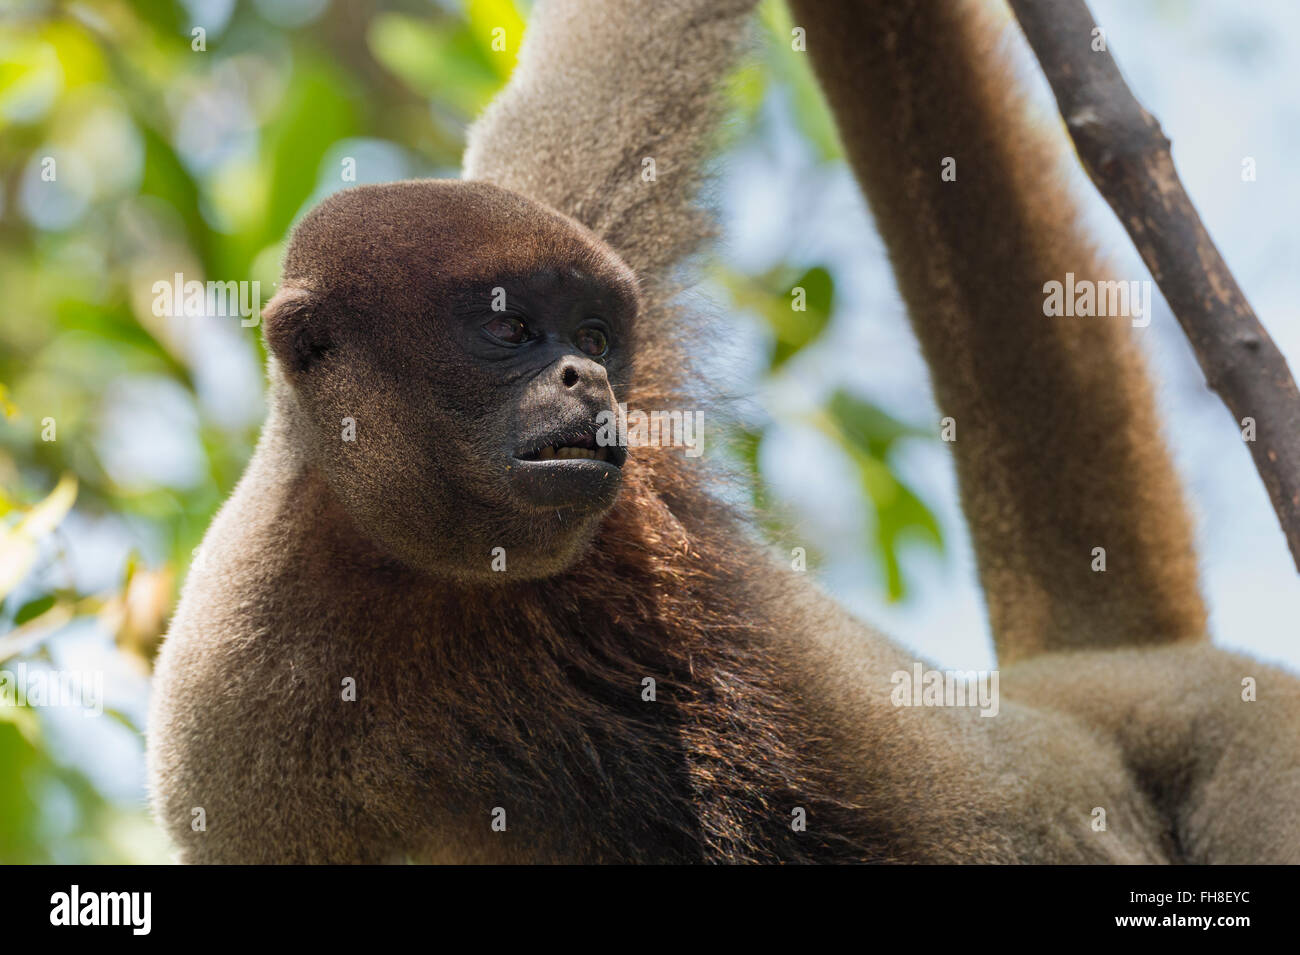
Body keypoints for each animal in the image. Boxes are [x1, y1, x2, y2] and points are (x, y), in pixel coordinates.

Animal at [147, 0, 1294, 867]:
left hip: (1216, 716)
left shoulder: (570, 203)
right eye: (508, 329)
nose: (588, 377)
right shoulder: (229, 716)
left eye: (593, 334)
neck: (430, 577)